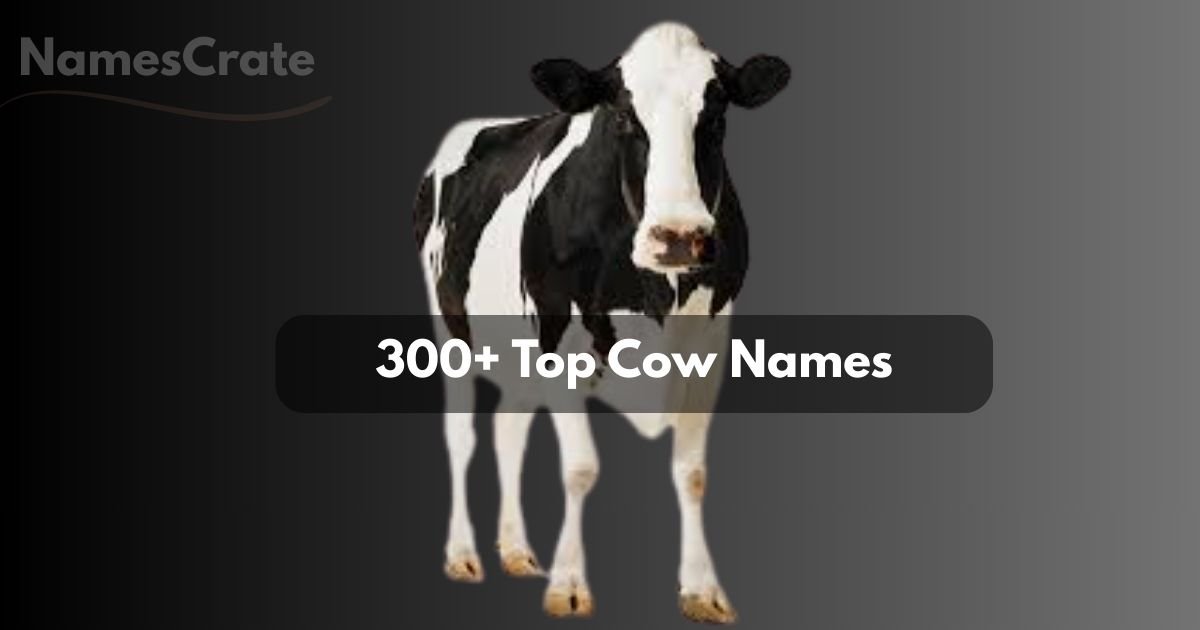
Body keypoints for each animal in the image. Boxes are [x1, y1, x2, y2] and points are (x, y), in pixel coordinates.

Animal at [412, 23, 789, 622]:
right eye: (622, 118)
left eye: (716, 117)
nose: (679, 237)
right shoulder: (559, 341)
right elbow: (580, 468)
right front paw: (568, 585)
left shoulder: (712, 343)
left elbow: (692, 473)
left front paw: (701, 590)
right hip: (449, 331)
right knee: (460, 436)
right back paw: (462, 554)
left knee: (508, 430)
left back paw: (514, 551)